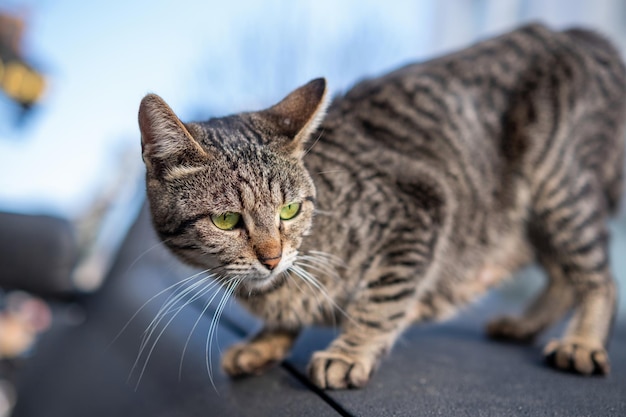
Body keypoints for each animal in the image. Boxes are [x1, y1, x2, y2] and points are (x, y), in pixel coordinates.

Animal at [138, 24, 624, 388]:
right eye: (226, 220)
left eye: (289, 211)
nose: (272, 258)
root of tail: (582, 34)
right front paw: (267, 339)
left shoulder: (420, 205)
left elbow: (382, 298)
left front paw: (350, 352)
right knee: (562, 274)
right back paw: (525, 326)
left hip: (559, 185)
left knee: (597, 277)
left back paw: (582, 342)